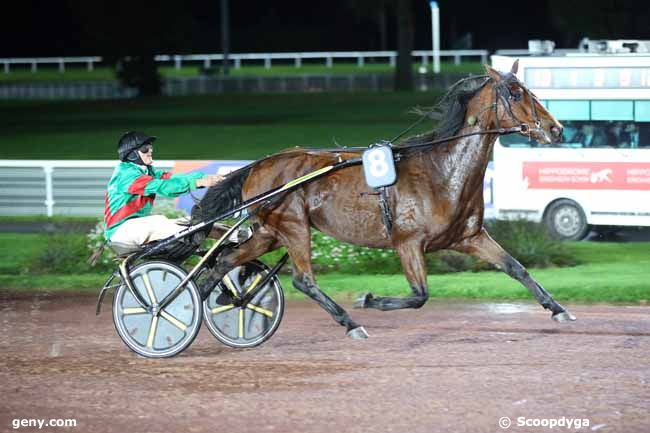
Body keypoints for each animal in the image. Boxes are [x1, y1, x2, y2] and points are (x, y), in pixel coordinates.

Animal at [192, 61, 572, 338]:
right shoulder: (408, 242)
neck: (441, 170)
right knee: (303, 280)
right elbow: (420, 296)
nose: (557, 129)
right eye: (515, 93)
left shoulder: (469, 237)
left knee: (225, 261)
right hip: (293, 226)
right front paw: (368, 298)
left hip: (270, 232)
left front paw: (558, 309)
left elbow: (516, 267)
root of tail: (259, 165)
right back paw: (351, 323)